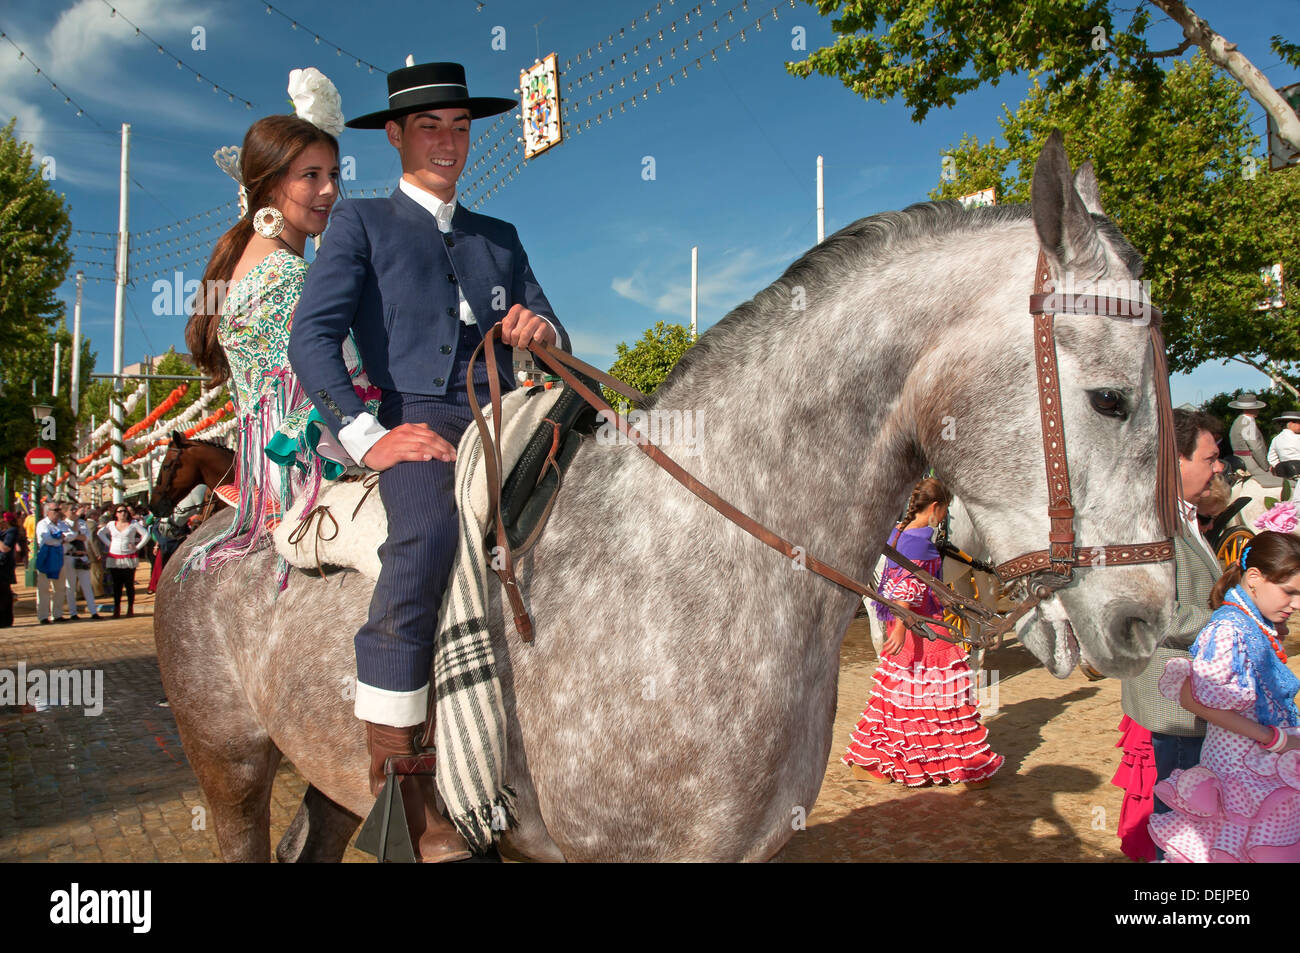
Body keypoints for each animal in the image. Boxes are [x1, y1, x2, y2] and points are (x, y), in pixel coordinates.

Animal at [154, 135, 1180, 863]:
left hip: (332, 778)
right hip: (230, 768)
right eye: (1110, 397)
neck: (701, 563)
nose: (1149, 617)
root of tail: (212, 534)